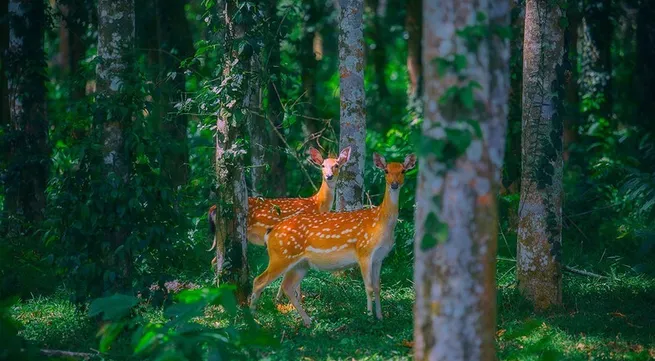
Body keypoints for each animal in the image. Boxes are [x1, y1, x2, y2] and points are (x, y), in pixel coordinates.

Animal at [249, 152, 418, 326]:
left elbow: (378, 287)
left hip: (300, 264)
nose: (394, 184)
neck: (381, 224)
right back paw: (252, 317)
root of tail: (271, 232)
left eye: (403, 170)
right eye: (386, 171)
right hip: (280, 256)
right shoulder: (364, 251)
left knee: (287, 286)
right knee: (259, 281)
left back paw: (307, 320)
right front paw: (369, 316)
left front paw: (380, 316)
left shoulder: (379, 257)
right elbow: (369, 287)